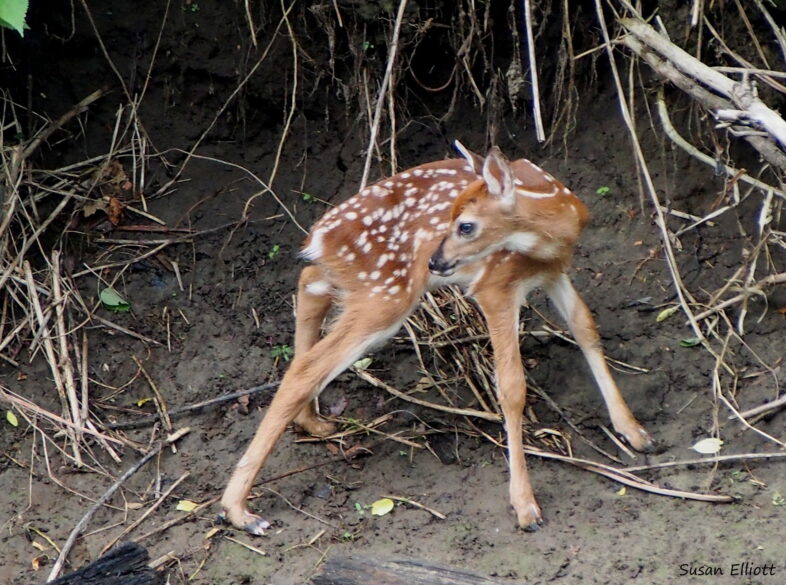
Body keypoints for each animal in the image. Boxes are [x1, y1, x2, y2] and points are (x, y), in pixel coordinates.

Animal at [221, 142, 653, 535]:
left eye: (466, 225)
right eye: (450, 219)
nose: (436, 261)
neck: (551, 235)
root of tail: (319, 236)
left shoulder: (553, 273)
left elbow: (585, 327)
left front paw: (633, 431)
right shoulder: (495, 287)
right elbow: (511, 386)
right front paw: (525, 506)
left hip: (363, 286)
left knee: (308, 285)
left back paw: (312, 423)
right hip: (388, 293)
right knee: (309, 364)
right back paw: (240, 510)